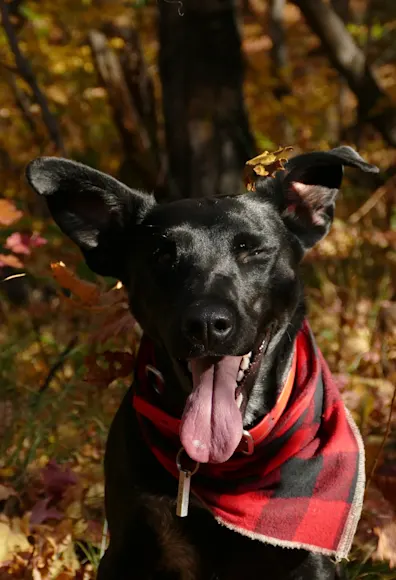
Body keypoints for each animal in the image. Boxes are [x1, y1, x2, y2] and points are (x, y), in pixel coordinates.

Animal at [26, 146, 378, 580]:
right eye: (162, 255)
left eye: (253, 250)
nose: (207, 323)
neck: (226, 461)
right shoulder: (127, 548)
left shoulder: (309, 557)